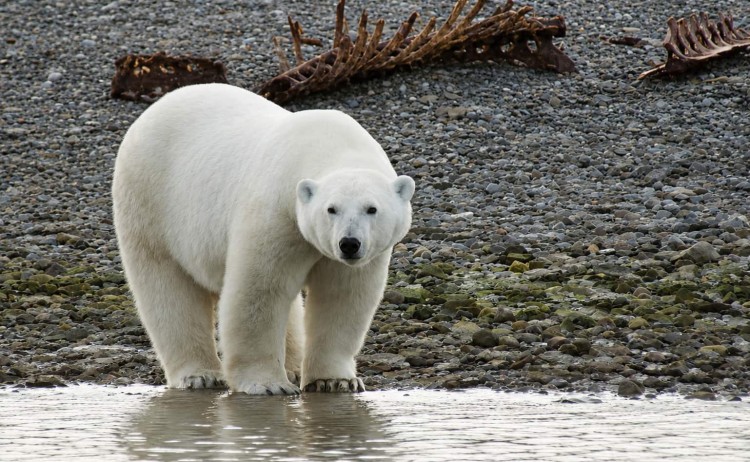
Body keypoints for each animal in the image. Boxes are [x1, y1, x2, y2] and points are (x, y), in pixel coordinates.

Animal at [112, 83, 415, 395]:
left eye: (372, 209)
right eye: (331, 209)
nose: (349, 243)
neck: (330, 144)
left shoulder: (354, 257)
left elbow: (342, 297)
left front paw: (335, 380)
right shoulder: (277, 213)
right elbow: (260, 292)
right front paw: (268, 384)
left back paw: (292, 368)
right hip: (150, 201)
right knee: (166, 289)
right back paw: (199, 375)